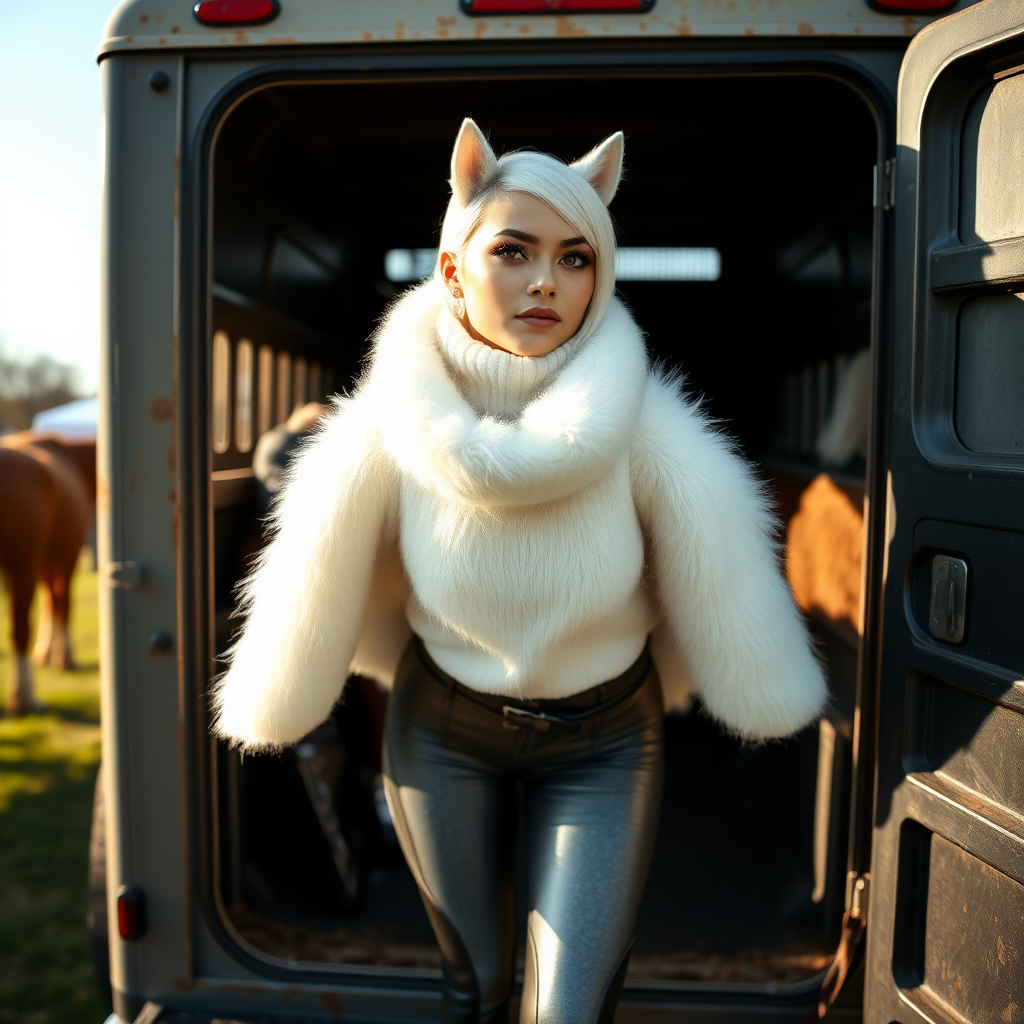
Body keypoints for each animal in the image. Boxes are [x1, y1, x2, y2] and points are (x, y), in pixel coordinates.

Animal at [0, 436, 96, 716]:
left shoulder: (45, 561)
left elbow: (49, 601)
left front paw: (45, 653)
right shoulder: (69, 555)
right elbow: (63, 602)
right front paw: (65, 656)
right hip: (22, 563)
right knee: (20, 626)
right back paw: (25, 698)